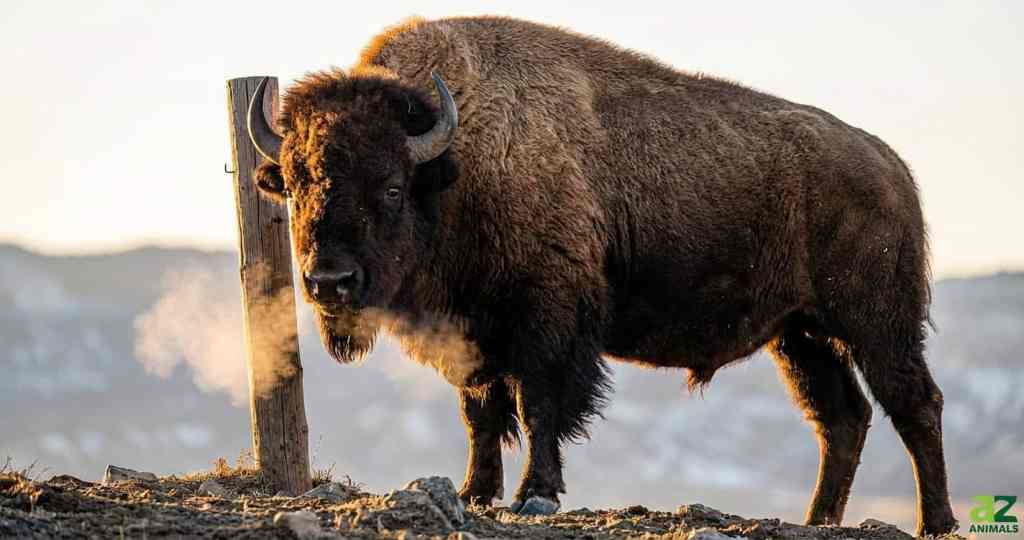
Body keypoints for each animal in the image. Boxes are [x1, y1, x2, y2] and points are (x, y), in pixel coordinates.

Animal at [248, 16, 957, 536]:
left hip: (875, 323)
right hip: (800, 334)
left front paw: (536, 495)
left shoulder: (547, 321)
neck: (455, 165)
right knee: (842, 418)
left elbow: (538, 405)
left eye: (392, 188)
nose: (330, 281)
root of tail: (890, 165)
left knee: (914, 403)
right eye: (298, 185)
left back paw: (937, 522)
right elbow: (480, 412)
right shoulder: (471, 334)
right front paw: (476, 494)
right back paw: (818, 519)